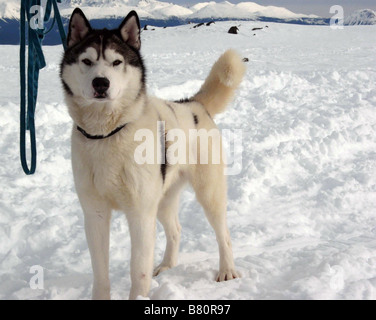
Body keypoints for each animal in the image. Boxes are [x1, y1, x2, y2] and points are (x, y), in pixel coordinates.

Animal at [60, 7, 245, 298]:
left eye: (116, 62)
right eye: (87, 61)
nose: (101, 83)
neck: (107, 135)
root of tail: (195, 104)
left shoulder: (140, 214)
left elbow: (138, 271)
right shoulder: (95, 214)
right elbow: (100, 273)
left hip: (208, 193)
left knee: (223, 234)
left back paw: (227, 270)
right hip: (163, 198)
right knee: (176, 230)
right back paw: (167, 265)